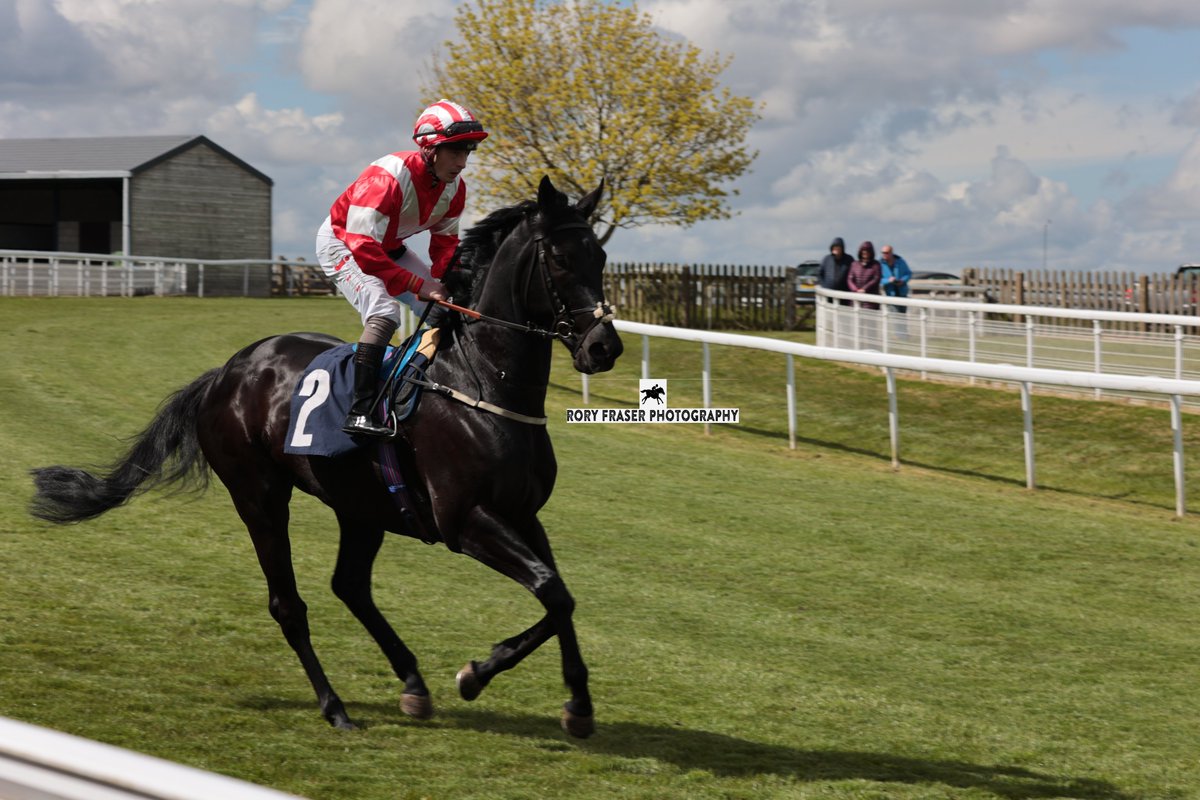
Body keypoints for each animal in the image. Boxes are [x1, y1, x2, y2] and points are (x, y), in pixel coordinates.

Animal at [28, 175, 624, 738]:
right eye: (560, 258)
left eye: (600, 257)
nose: (604, 347)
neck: (481, 383)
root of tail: (224, 373)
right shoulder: (466, 520)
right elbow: (551, 590)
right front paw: (488, 676)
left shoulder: (522, 514)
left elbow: (559, 595)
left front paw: (566, 700)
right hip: (259, 496)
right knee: (289, 605)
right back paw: (335, 708)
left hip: (360, 503)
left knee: (350, 585)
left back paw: (412, 682)